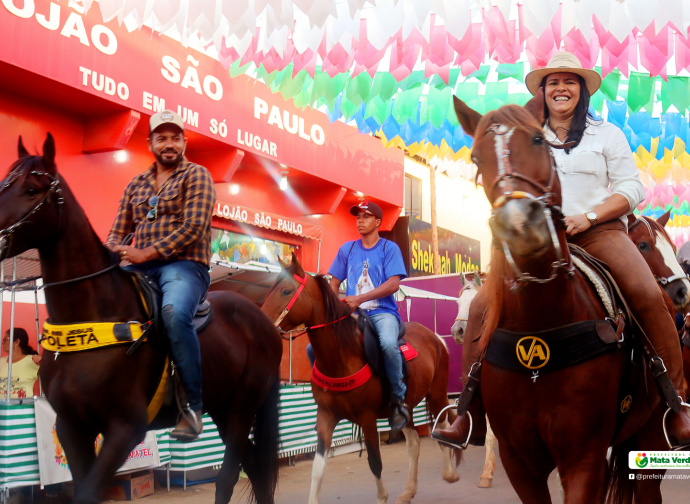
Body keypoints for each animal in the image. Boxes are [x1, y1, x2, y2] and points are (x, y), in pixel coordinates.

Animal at [0, 133, 282, 504]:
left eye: (32, 189)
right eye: (3, 184)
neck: (92, 316)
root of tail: (264, 322)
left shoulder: (124, 429)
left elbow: (88, 493)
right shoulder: (71, 427)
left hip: (241, 409)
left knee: (230, 476)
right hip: (222, 407)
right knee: (256, 469)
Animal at [260, 256, 460, 504]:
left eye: (286, 291)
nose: (262, 321)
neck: (341, 357)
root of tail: (435, 338)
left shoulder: (367, 418)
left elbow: (375, 462)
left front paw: (382, 496)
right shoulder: (326, 415)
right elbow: (318, 468)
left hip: (436, 394)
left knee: (442, 426)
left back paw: (449, 473)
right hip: (407, 408)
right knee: (414, 442)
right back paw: (408, 491)